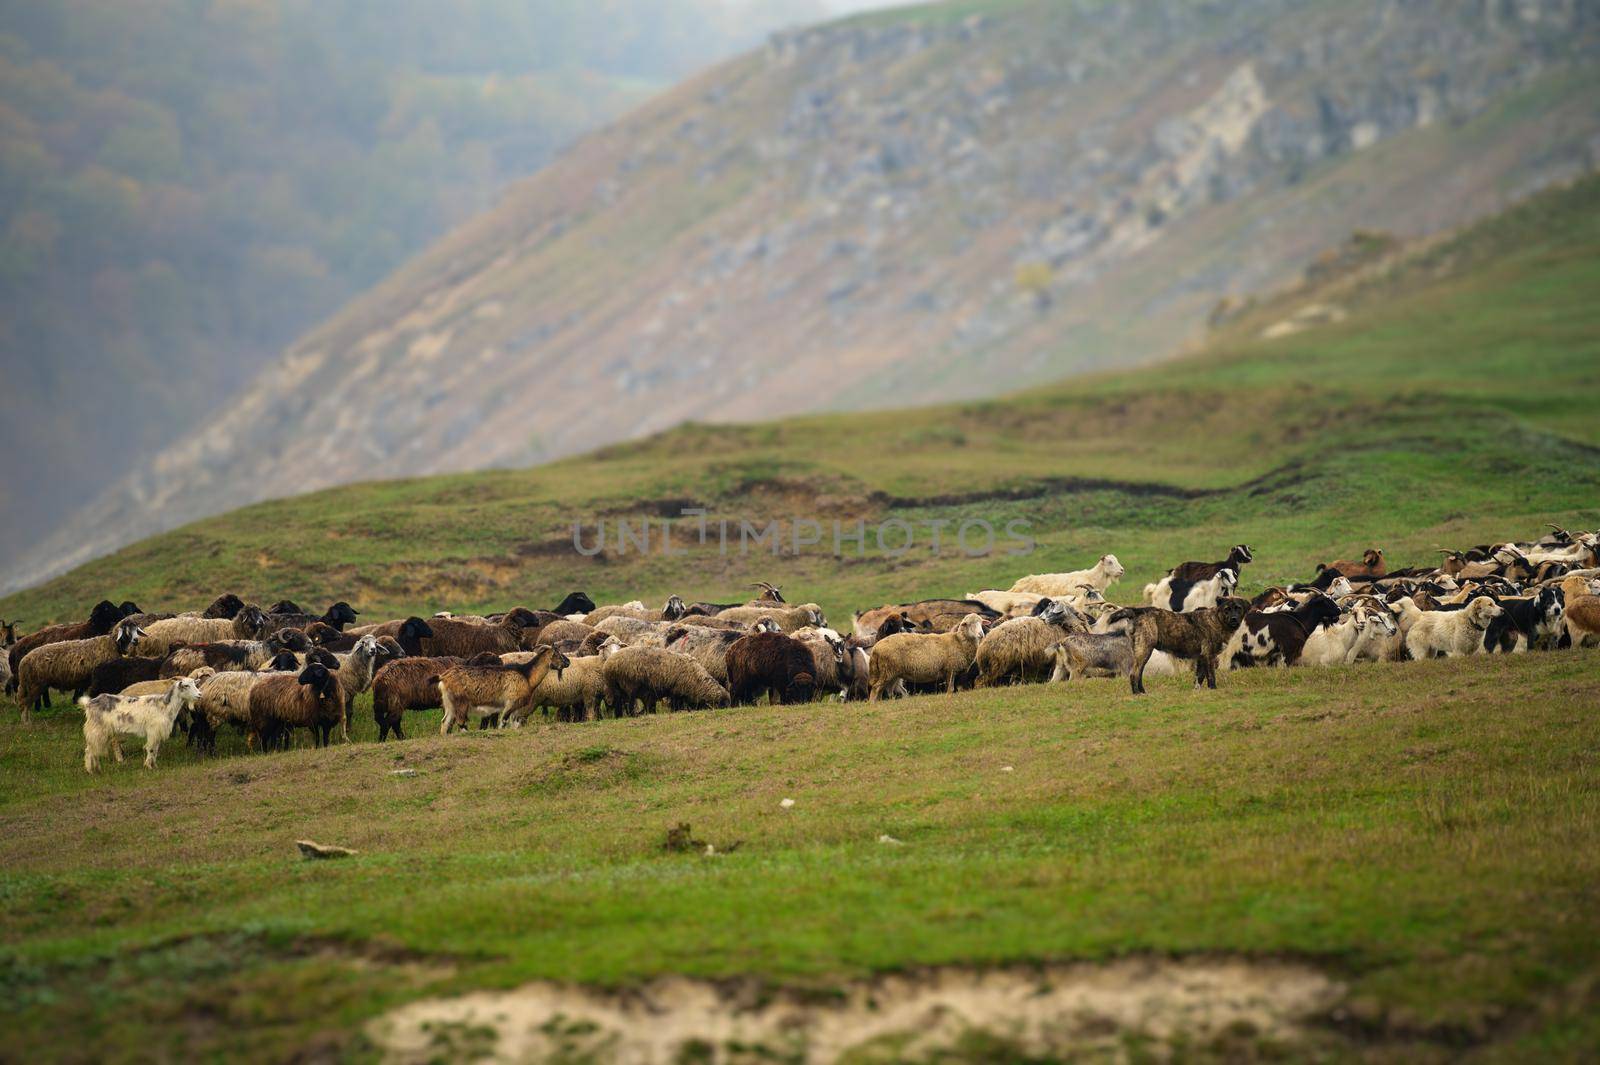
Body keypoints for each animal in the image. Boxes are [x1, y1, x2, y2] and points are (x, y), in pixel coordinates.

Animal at [14, 617, 144, 716]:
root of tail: (23, 661)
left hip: (34, 684)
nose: (136, 640)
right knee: (24, 703)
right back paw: (27, 723)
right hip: (34, 684)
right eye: (127, 630)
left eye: (136, 629)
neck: (112, 644)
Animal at [601, 639, 729, 713]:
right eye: (721, 704)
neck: (697, 681)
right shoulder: (677, 692)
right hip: (629, 687)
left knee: (619, 705)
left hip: (617, 689)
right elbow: (676, 705)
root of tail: (609, 664)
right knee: (629, 705)